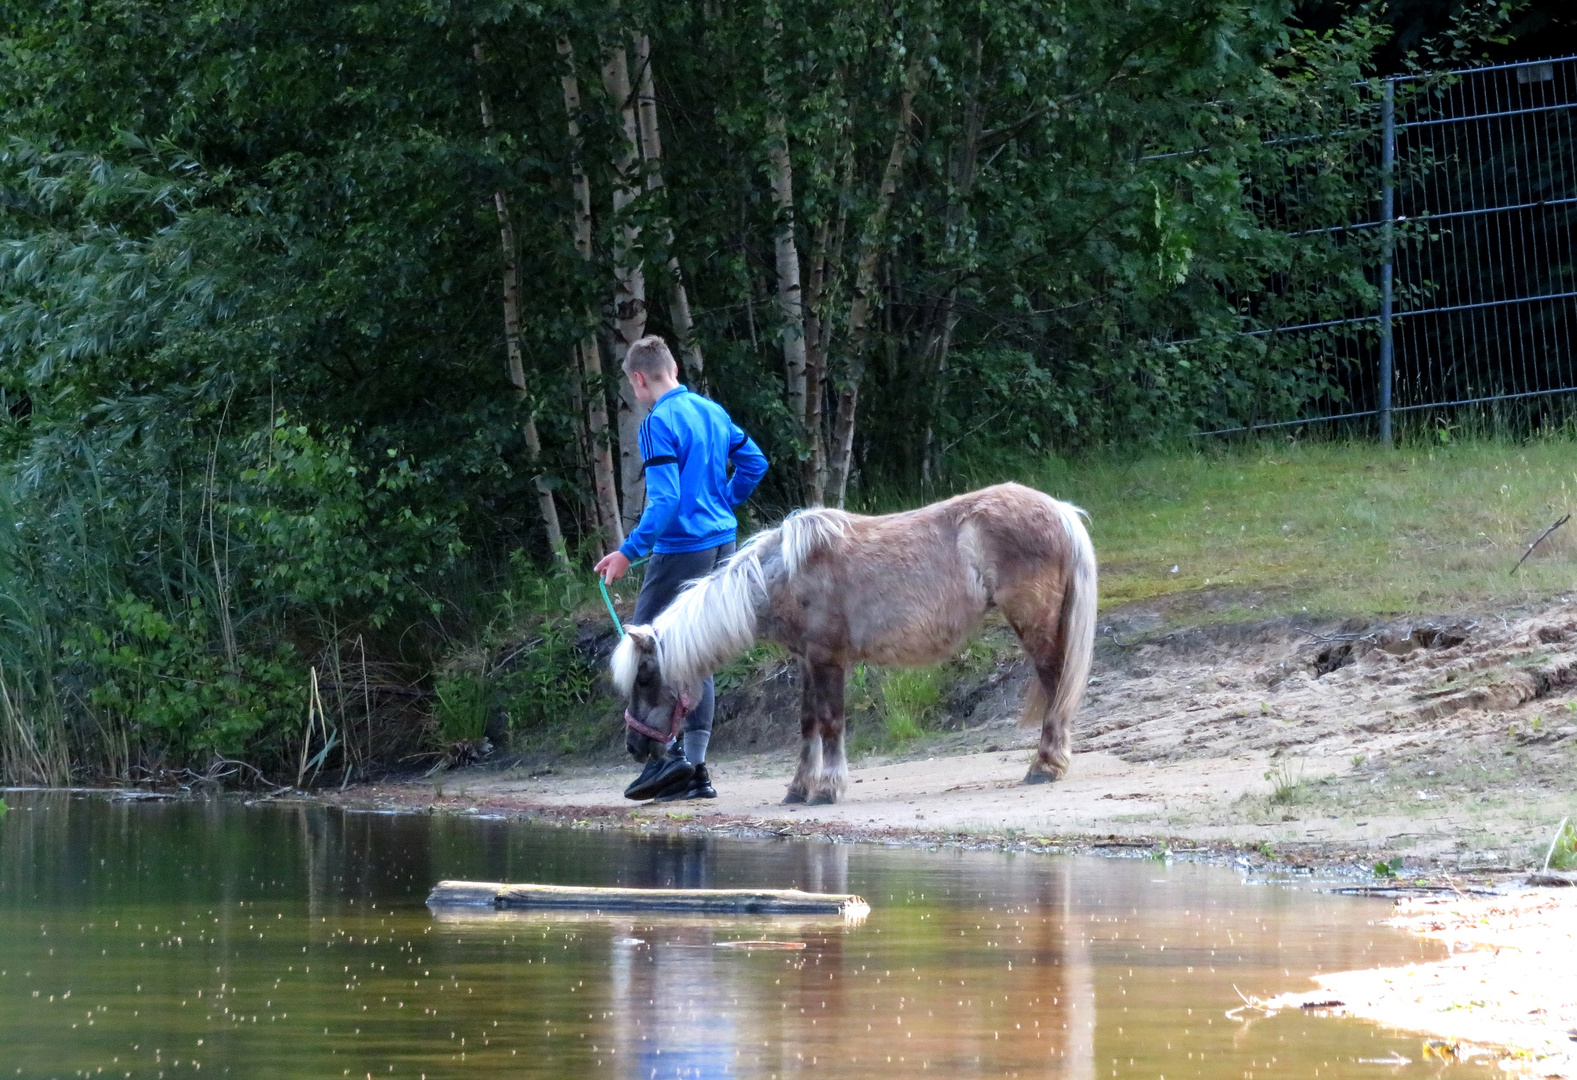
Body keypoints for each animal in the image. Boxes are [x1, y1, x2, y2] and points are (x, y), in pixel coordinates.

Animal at [605, 485, 1097, 804]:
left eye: (644, 677)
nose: (634, 747)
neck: (786, 574)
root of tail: (1059, 510)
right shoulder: (807, 661)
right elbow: (807, 724)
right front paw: (798, 789)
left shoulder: (829, 661)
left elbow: (830, 723)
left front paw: (827, 788)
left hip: (1034, 625)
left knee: (1056, 686)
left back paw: (1045, 766)